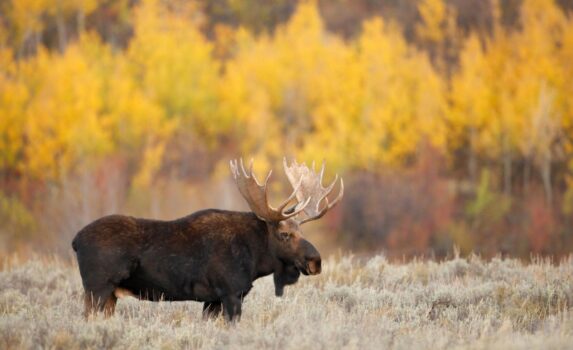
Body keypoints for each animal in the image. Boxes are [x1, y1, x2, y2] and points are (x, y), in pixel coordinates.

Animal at [70, 157, 340, 322]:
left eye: (303, 232)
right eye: (285, 234)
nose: (316, 261)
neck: (254, 260)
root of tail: (75, 240)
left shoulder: (212, 300)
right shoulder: (230, 292)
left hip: (109, 295)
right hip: (97, 288)